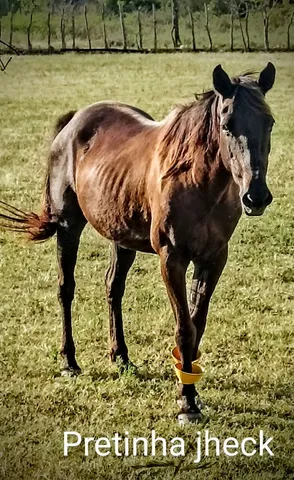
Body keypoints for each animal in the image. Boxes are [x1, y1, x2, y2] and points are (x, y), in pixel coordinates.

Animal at [0, 63, 276, 424]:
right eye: (227, 124)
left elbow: (197, 325)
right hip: (68, 226)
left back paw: (121, 357)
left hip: (122, 236)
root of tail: (73, 122)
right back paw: (69, 362)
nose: (256, 197)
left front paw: (190, 393)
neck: (197, 181)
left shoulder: (213, 259)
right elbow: (184, 328)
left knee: (113, 288)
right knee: (66, 289)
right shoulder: (172, 259)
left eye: (269, 122)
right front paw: (187, 404)